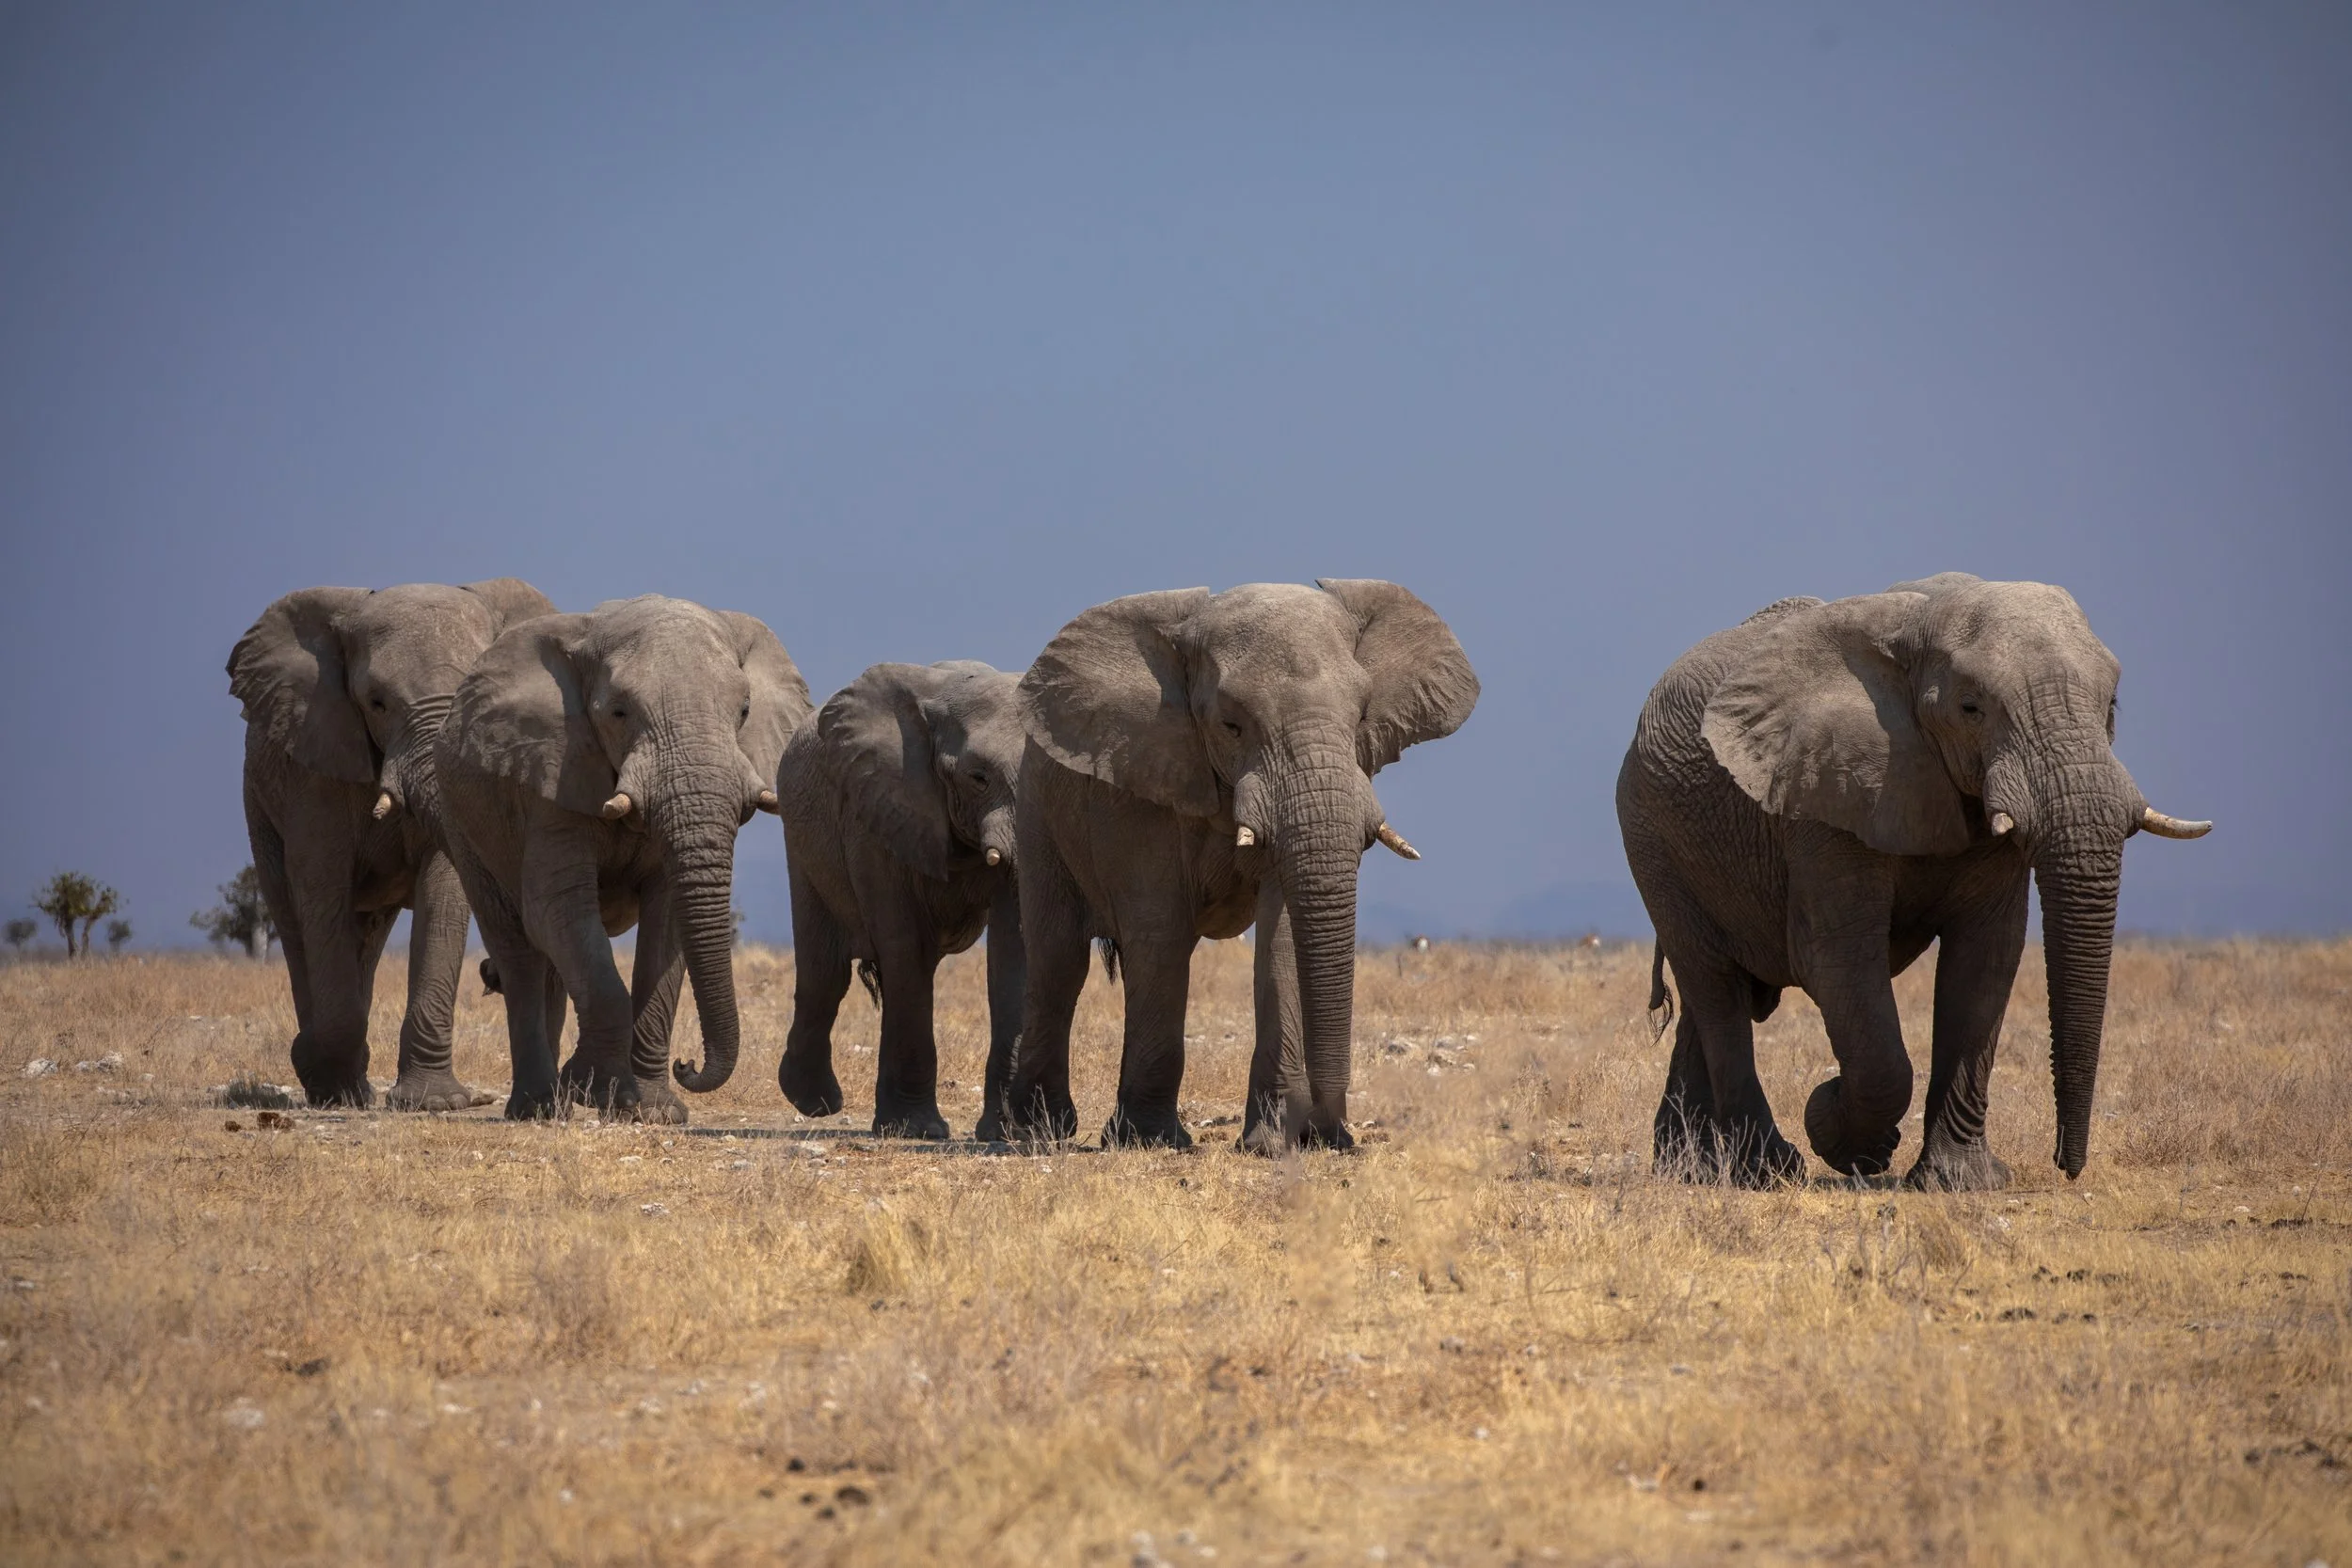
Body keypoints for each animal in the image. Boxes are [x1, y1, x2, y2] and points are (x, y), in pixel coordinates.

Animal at [227, 578, 557, 1109]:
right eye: (376, 702)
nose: (490, 974)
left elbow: (444, 889)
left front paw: (433, 1102)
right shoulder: (315, 759)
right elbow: (321, 883)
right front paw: (328, 1080)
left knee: (368, 932)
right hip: (258, 803)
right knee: (295, 921)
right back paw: (335, 1081)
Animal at [431, 594, 812, 1122]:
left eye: (744, 710)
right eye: (618, 712)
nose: (687, 1064)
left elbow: (667, 921)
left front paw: (652, 1111)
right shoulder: (554, 775)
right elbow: (558, 909)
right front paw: (595, 1087)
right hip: (462, 822)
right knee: (517, 948)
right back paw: (540, 1107)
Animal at [773, 661, 1027, 1139]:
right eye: (978, 778)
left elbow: (1013, 949)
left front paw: (1006, 1134)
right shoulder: (876, 806)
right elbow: (903, 945)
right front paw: (919, 1129)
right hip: (801, 835)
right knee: (827, 973)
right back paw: (817, 1103)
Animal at [1002, 581, 1478, 1153]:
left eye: (1362, 716)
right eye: (1231, 726)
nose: (1331, 1135)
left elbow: (1283, 937)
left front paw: (1271, 1144)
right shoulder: (1142, 782)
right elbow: (1160, 934)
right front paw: (1149, 1140)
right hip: (1037, 814)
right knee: (1059, 960)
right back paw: (1036, 1130)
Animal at [1616, 573, 2211, 1190]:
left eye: (2112, 705)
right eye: (1971, 708)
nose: (2066, 1167)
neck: (1920, 626)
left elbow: (1986, 961)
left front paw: (1963, 1183)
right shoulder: (1825, 790)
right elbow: (1838, 964)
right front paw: (1845, 1134)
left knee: (1712, 999)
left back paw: (1690, 1170)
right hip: (1654, 839)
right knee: (1717, 990)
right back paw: (1767, 1169)